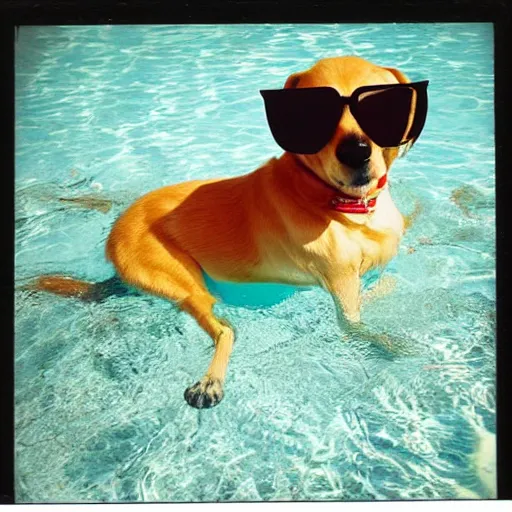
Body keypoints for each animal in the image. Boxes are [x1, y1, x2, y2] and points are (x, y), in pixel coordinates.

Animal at [27, 56, 428, 408]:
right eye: (309, 115)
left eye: (384, 107)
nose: (355, 152)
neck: (344, 206)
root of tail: (117, 235)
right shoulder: (341, 286)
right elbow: (357, 327)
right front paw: (392, 344)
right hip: (181, 283)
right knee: (225, 330)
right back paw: (210, 381)